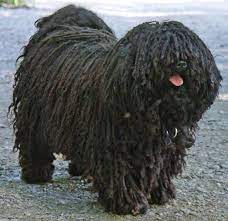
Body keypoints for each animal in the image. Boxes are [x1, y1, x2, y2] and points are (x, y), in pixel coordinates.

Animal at [9, 4, 222, 215]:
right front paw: (129, 203)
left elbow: (160, 168)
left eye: (189, 52)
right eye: (160, 52)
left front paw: (160, 192)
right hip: (35, 115)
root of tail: (58, 28)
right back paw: (37, 173)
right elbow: (120, 174)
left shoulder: (167, 144)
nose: (181, 63)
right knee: (34, 143)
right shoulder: (113, 144)